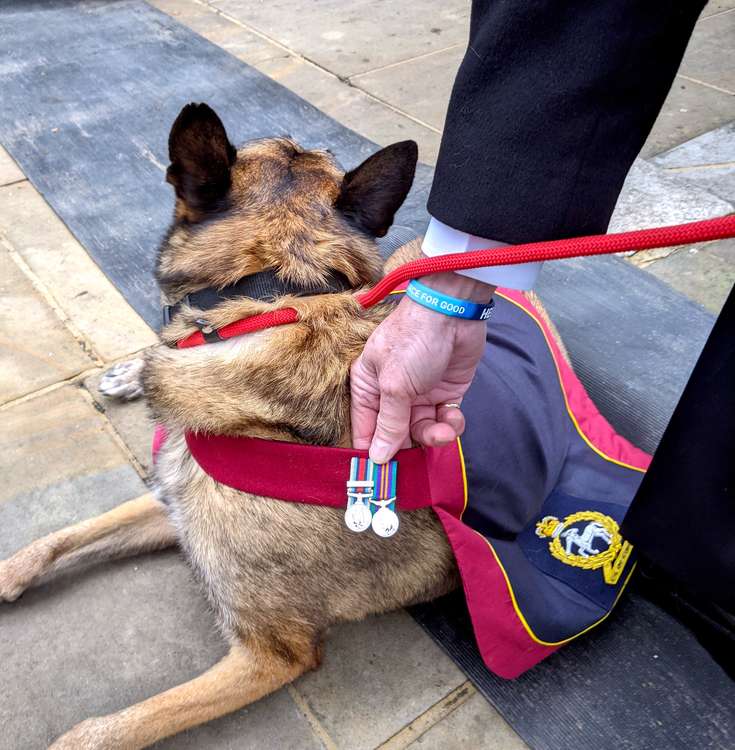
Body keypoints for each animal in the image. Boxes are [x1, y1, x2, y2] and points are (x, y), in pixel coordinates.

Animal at [0, 103, 568, 748]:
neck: (275, 295)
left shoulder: (271, 653)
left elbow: (105, 730)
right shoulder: (176, 499)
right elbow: (62, 537)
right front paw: (9, 572)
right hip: (410, 268)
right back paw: (127, 375)